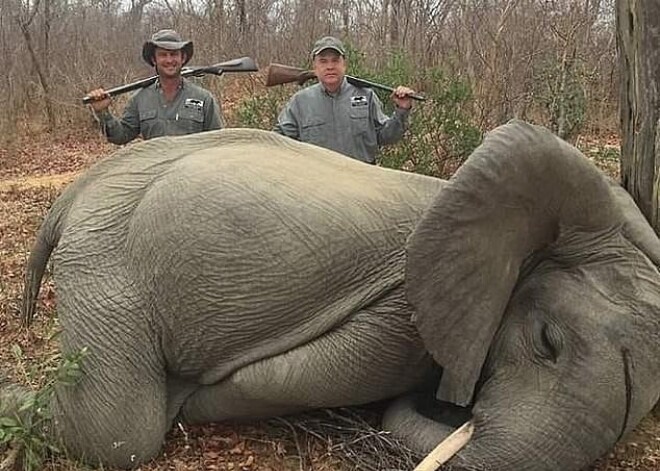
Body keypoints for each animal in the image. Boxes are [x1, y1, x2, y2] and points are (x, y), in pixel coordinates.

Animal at [0, 121, 656, 471]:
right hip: (105, 262)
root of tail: (75, 194)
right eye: (547, 341)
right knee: (116, 433)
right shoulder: (402, 317)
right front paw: (190, 397)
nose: (452, 408)